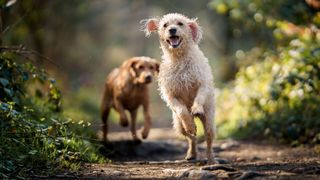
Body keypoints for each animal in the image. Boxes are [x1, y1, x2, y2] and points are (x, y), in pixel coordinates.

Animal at [142, 13, 215, 162]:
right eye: (165, 25)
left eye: (180, 23)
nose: (172, 30)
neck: (179, 58)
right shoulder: (170, 94)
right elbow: (181, 111)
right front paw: (190, 124)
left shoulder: (202, 83)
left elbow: (199, 96)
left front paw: (196, 108)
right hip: (178, 125)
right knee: (191, 137)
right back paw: (192, 152)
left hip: (209, 119)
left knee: (209, 138)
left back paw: (211, 159)